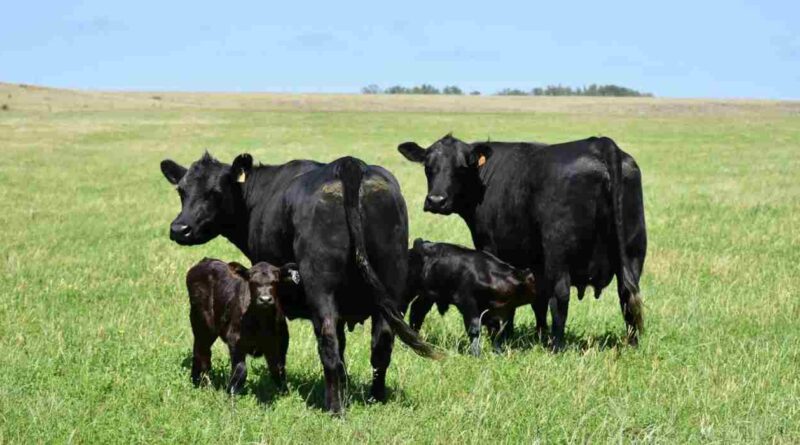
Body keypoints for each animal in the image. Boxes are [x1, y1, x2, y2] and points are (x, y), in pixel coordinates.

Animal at [161, 153, 438, 412]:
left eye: (215, 192)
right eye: (181, 191)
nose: (179, 229)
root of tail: (349, 164)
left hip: (320, 286)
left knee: (329, 344)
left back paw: (334, 407)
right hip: (391, 282)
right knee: (381, 344)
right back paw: (375, 398)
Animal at [396, 134, 648, 348]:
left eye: (461, 167)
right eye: (428, 167)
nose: (436, 200)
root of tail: (600, 143)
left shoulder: (491, 246)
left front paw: (500, 335)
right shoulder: (534, 262)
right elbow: (538, 299)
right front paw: (538, 334)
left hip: (558, 251)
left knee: (561, 294)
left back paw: (557, 345)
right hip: (633, 251)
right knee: (627, 293)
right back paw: (632, 344)